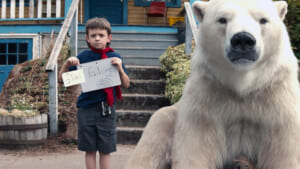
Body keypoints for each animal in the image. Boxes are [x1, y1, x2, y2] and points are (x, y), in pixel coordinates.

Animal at [123, 0, 300, 168]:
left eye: (263, 20)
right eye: (222, 19)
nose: (243, 39)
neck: (243, 83)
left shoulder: (275, 92)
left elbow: (284, 148)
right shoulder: (208, 92)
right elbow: (196, 146)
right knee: (156, 129)